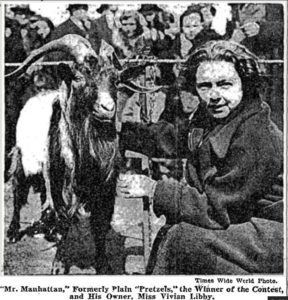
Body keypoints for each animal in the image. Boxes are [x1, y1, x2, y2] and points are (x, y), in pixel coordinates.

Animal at [5, 33, 160, 274]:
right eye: (79, 77)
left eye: (115, 80)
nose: (107, 108)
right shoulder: (61, 184)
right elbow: (66, 221)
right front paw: (58, 265)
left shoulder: (105, 190)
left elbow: (100, 227)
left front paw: (103, 265)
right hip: (22, 158)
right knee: (18, 191)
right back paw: (13, 231)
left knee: (42, 196)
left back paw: (47, 228)